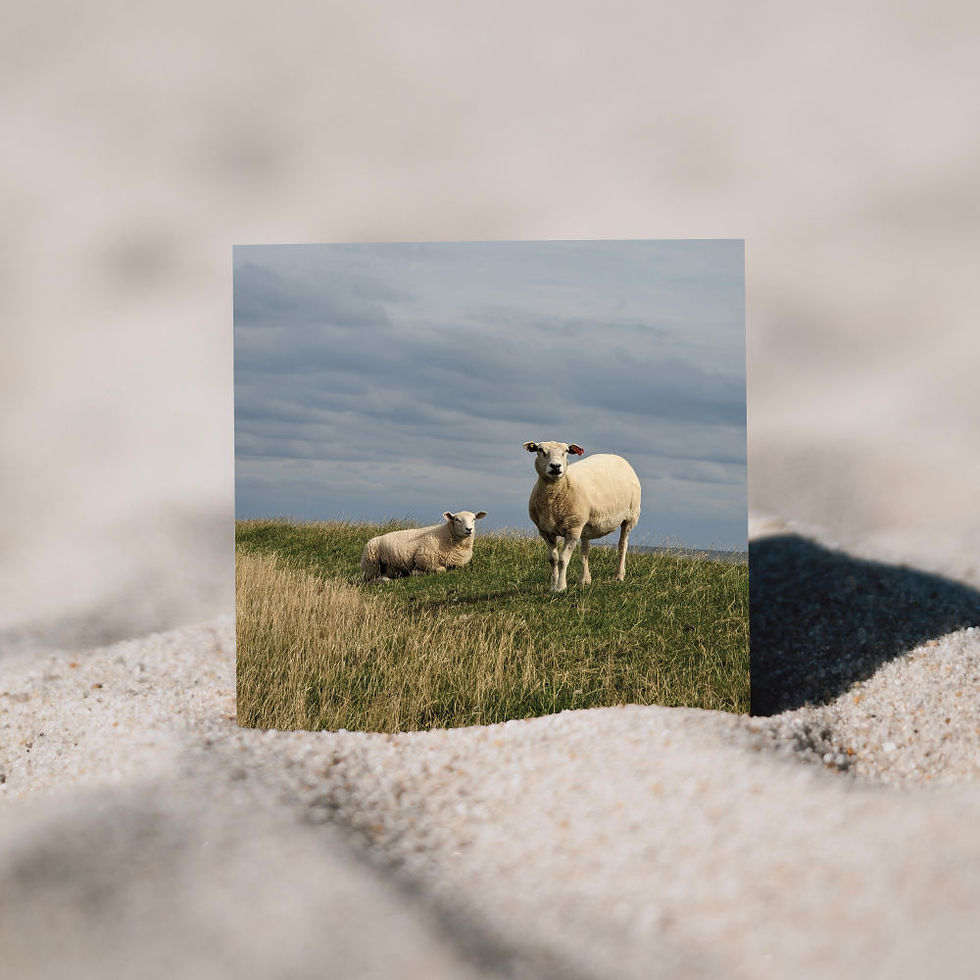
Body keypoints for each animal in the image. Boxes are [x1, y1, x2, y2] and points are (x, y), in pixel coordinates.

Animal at [524, 441, 641, 592]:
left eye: (566, 451)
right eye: (540, 450)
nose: (555, 466)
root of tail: (616, 456)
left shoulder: (573, 530)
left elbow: (563, 560)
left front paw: (561, 587)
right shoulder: (545, 531)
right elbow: (553, 560)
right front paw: (553, 586)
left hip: (630, 517)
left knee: (622, 545)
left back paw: (618, 576)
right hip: (585, 524)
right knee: (585, 550)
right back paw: (585, 579)